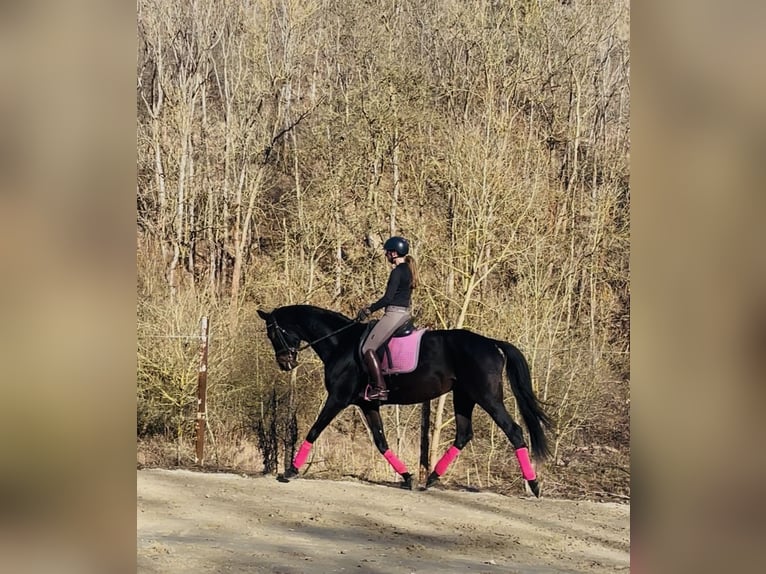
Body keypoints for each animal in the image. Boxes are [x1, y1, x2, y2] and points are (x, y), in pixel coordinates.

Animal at [258, 304, 552, 498]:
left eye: (273, 333)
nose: (285, 363)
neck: (340, 342)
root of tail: (491, 343)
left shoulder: (338, 398)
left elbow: (314, 430)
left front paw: (290, 471)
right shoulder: (368, 404)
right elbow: (381, 442)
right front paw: (408, 477)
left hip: (487, 397)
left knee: (514, 431)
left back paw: (534, 485)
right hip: (464, 396)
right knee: (463, 434)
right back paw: (429, 479)